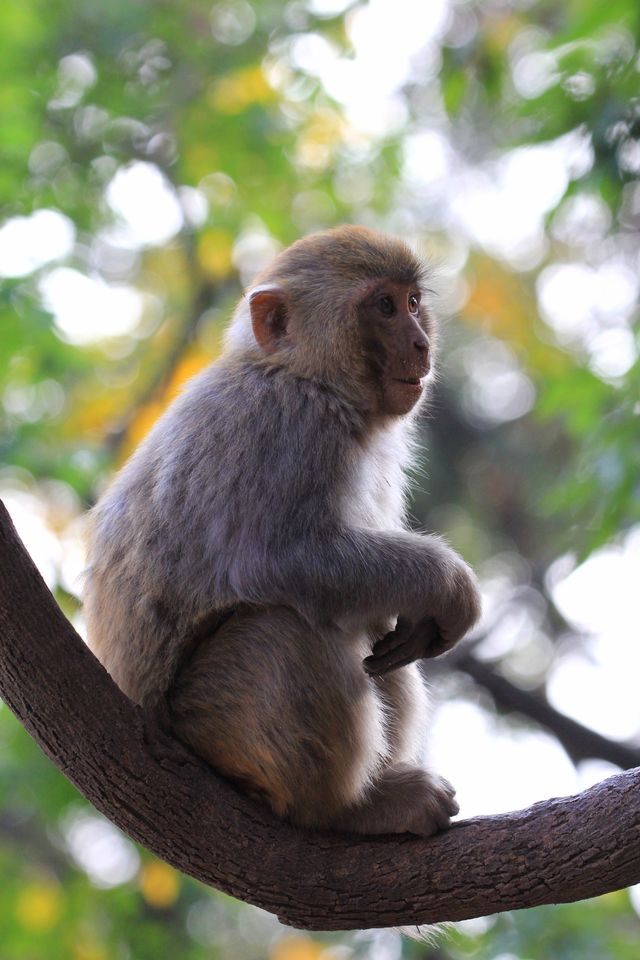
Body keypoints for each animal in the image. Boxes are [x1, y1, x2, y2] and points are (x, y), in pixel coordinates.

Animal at [84, 225, 480, 832]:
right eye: (383, 307)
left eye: (413, 303)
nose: (420, 344)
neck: (298, 373)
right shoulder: (291, 424)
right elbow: (278, 560)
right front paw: (448, 584)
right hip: (212, 721)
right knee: (287, 627)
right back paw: (346, 809)